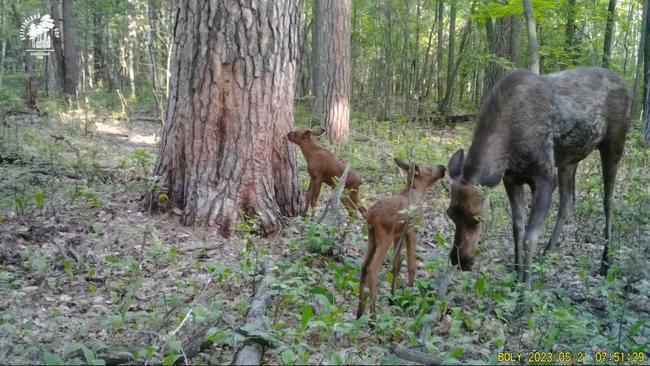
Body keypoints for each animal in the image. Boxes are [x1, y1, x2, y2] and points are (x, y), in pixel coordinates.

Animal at [354, 159, 446, 318]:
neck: (418, 192)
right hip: (384, 240)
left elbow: (396, 265)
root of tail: (370, 217)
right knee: (372, 269)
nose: (443, 167)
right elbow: (411, 265)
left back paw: (360, 312)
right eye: (428, 168)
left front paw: (392, 296)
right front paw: (410, 297)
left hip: (372, 239)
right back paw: (373, 315)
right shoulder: (411, 231)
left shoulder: (398, 235)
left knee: (363, 267)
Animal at [446, 67, 628, 284]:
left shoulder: (545, 179)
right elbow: (517, 228)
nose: (458, 260)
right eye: (450, 215)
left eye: (477, 219)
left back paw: (605, 262)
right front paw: (518, 273)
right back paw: (546, 256)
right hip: (569, 160)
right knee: (568, 200)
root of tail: (627, 85)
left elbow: (529, 237)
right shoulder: (511, 179)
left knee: (608, 201)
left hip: (614, 144)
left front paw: (526, 285)